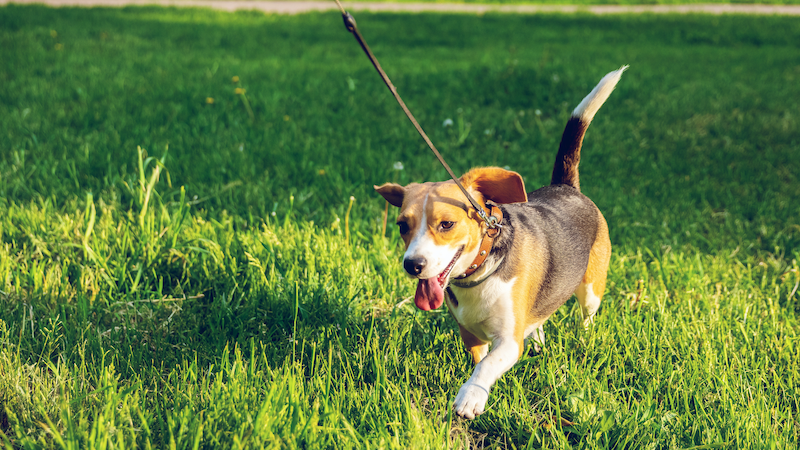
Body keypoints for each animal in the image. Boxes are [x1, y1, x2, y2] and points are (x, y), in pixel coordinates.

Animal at [376, 66, 624, 418]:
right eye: (402, 226)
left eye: (447, 224)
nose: (413, 265)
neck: (479, 272)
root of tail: (565, 186)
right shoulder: (470, 334)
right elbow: (480, 359)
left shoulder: (508, 340)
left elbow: (488, 365)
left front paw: (471, 396)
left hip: (591, 289)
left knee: (586, 315)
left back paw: (584, 338)